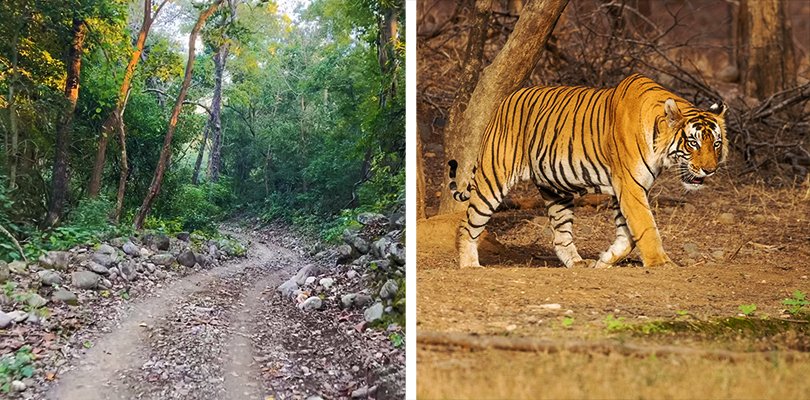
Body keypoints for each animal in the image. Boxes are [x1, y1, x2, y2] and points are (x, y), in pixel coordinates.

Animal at [448, 74, 727, 269]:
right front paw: (662, 264)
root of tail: (504, 102)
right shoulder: (630, 186)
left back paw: (578, 263)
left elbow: (628, 235)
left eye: (716, 143)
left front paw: (605, 260)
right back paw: (470, 265)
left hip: (556, 190)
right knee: (467, 224)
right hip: (493, 178)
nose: (709, 170)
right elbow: (646, 227)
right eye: (693, 143)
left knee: (560, 236)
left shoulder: (624, 189)